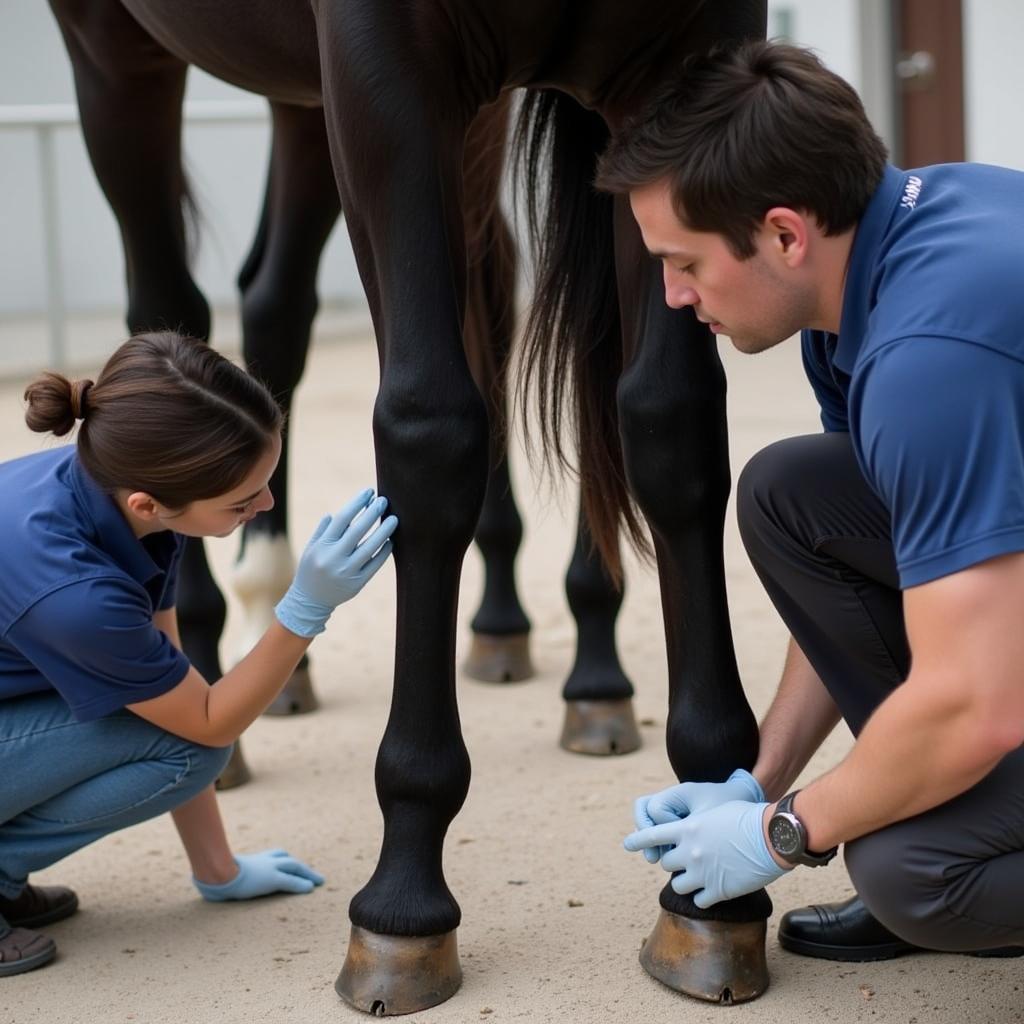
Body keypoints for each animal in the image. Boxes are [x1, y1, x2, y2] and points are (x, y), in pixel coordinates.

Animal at [48, 0, 770, 1007]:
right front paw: (403, 902)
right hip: (118, 52)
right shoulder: (385, 68)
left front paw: (710, 860)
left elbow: (671, 422)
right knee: (169, 310)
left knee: (280, 302)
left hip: (317, 106)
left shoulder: (682, 64)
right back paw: (203, 656)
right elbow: (431, 429)